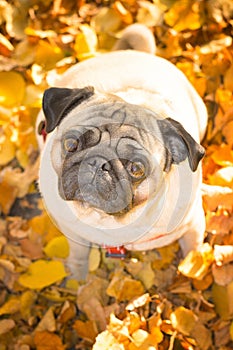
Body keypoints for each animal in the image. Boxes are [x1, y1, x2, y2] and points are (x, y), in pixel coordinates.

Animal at [38, 23, 208, 278]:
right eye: (71, 144)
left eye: (136, 168)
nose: (97, 163)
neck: (108, 223)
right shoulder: (73, 233)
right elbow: (78, 255)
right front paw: (77, 279)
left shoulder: (193, 225)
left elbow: (193, 254)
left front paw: (192, 276)